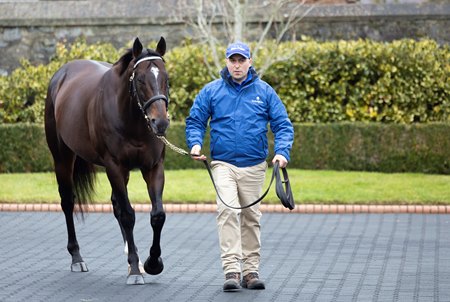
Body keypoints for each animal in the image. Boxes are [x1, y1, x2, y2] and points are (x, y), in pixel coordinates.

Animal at [44, 36, 171, 284]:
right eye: (140, 79)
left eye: (166, 78)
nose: (160, 123)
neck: (132, 120)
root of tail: (62, 74)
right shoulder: (114, 167)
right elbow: (129, 215)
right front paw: (135, 270)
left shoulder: (153, 167)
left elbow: (157, 215)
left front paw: (152, 263)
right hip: (63, 158)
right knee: (68, 202)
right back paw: (77, 258)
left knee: (116, 205)